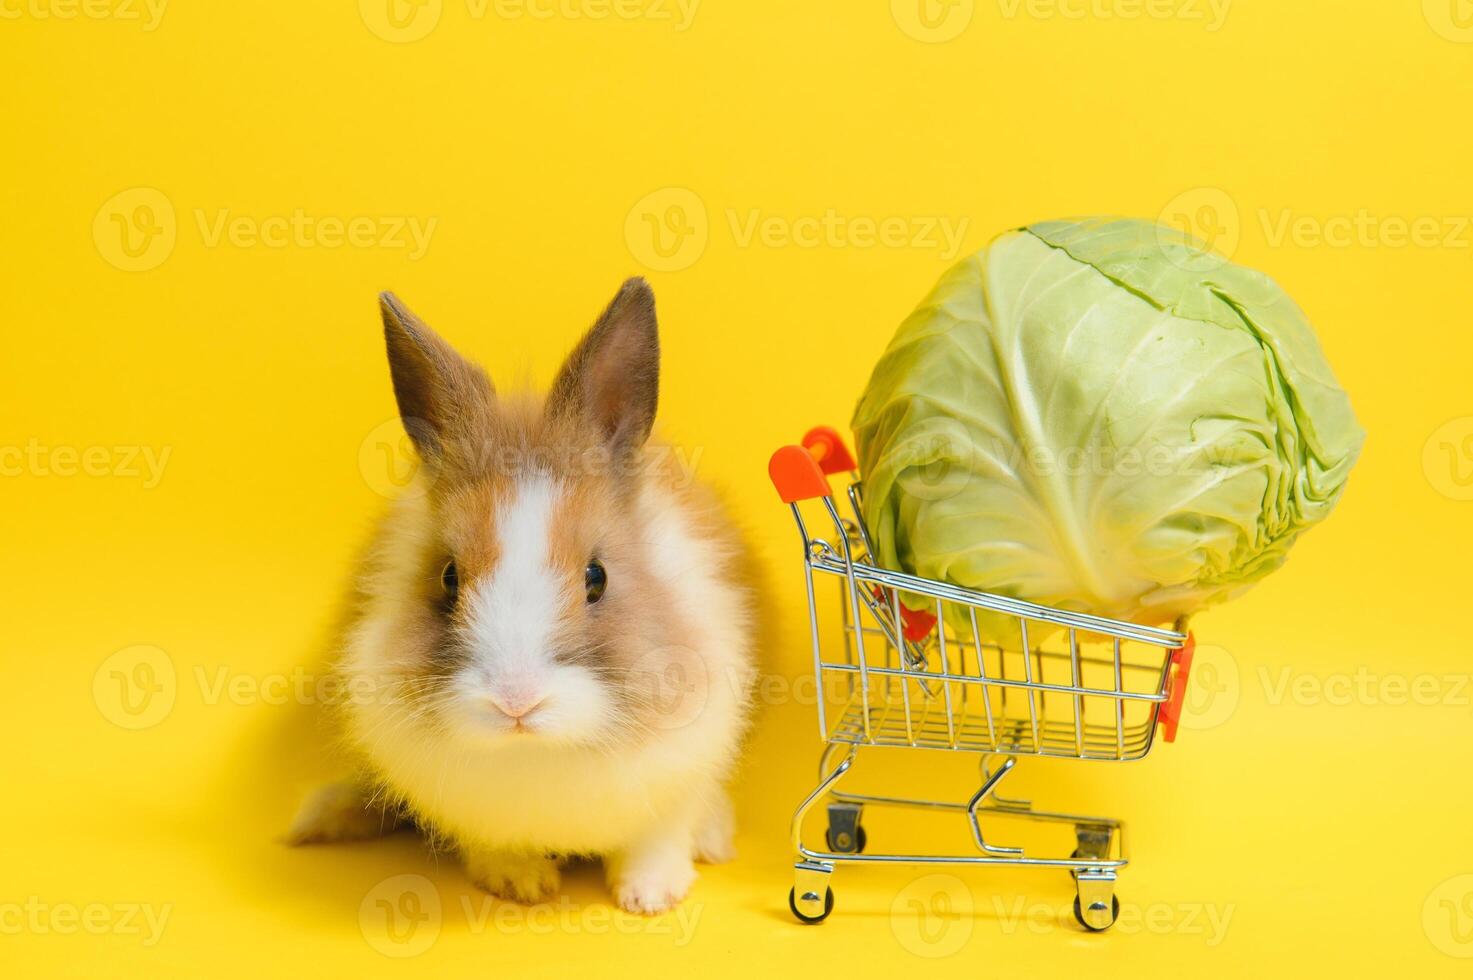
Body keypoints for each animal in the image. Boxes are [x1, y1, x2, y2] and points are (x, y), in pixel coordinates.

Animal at [282, 272, 754, 907]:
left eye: (597, 577)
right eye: (449, 577)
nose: (516, 701)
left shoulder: (684, 766)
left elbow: (658, 834)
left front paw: (649, 896)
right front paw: (521, 883)